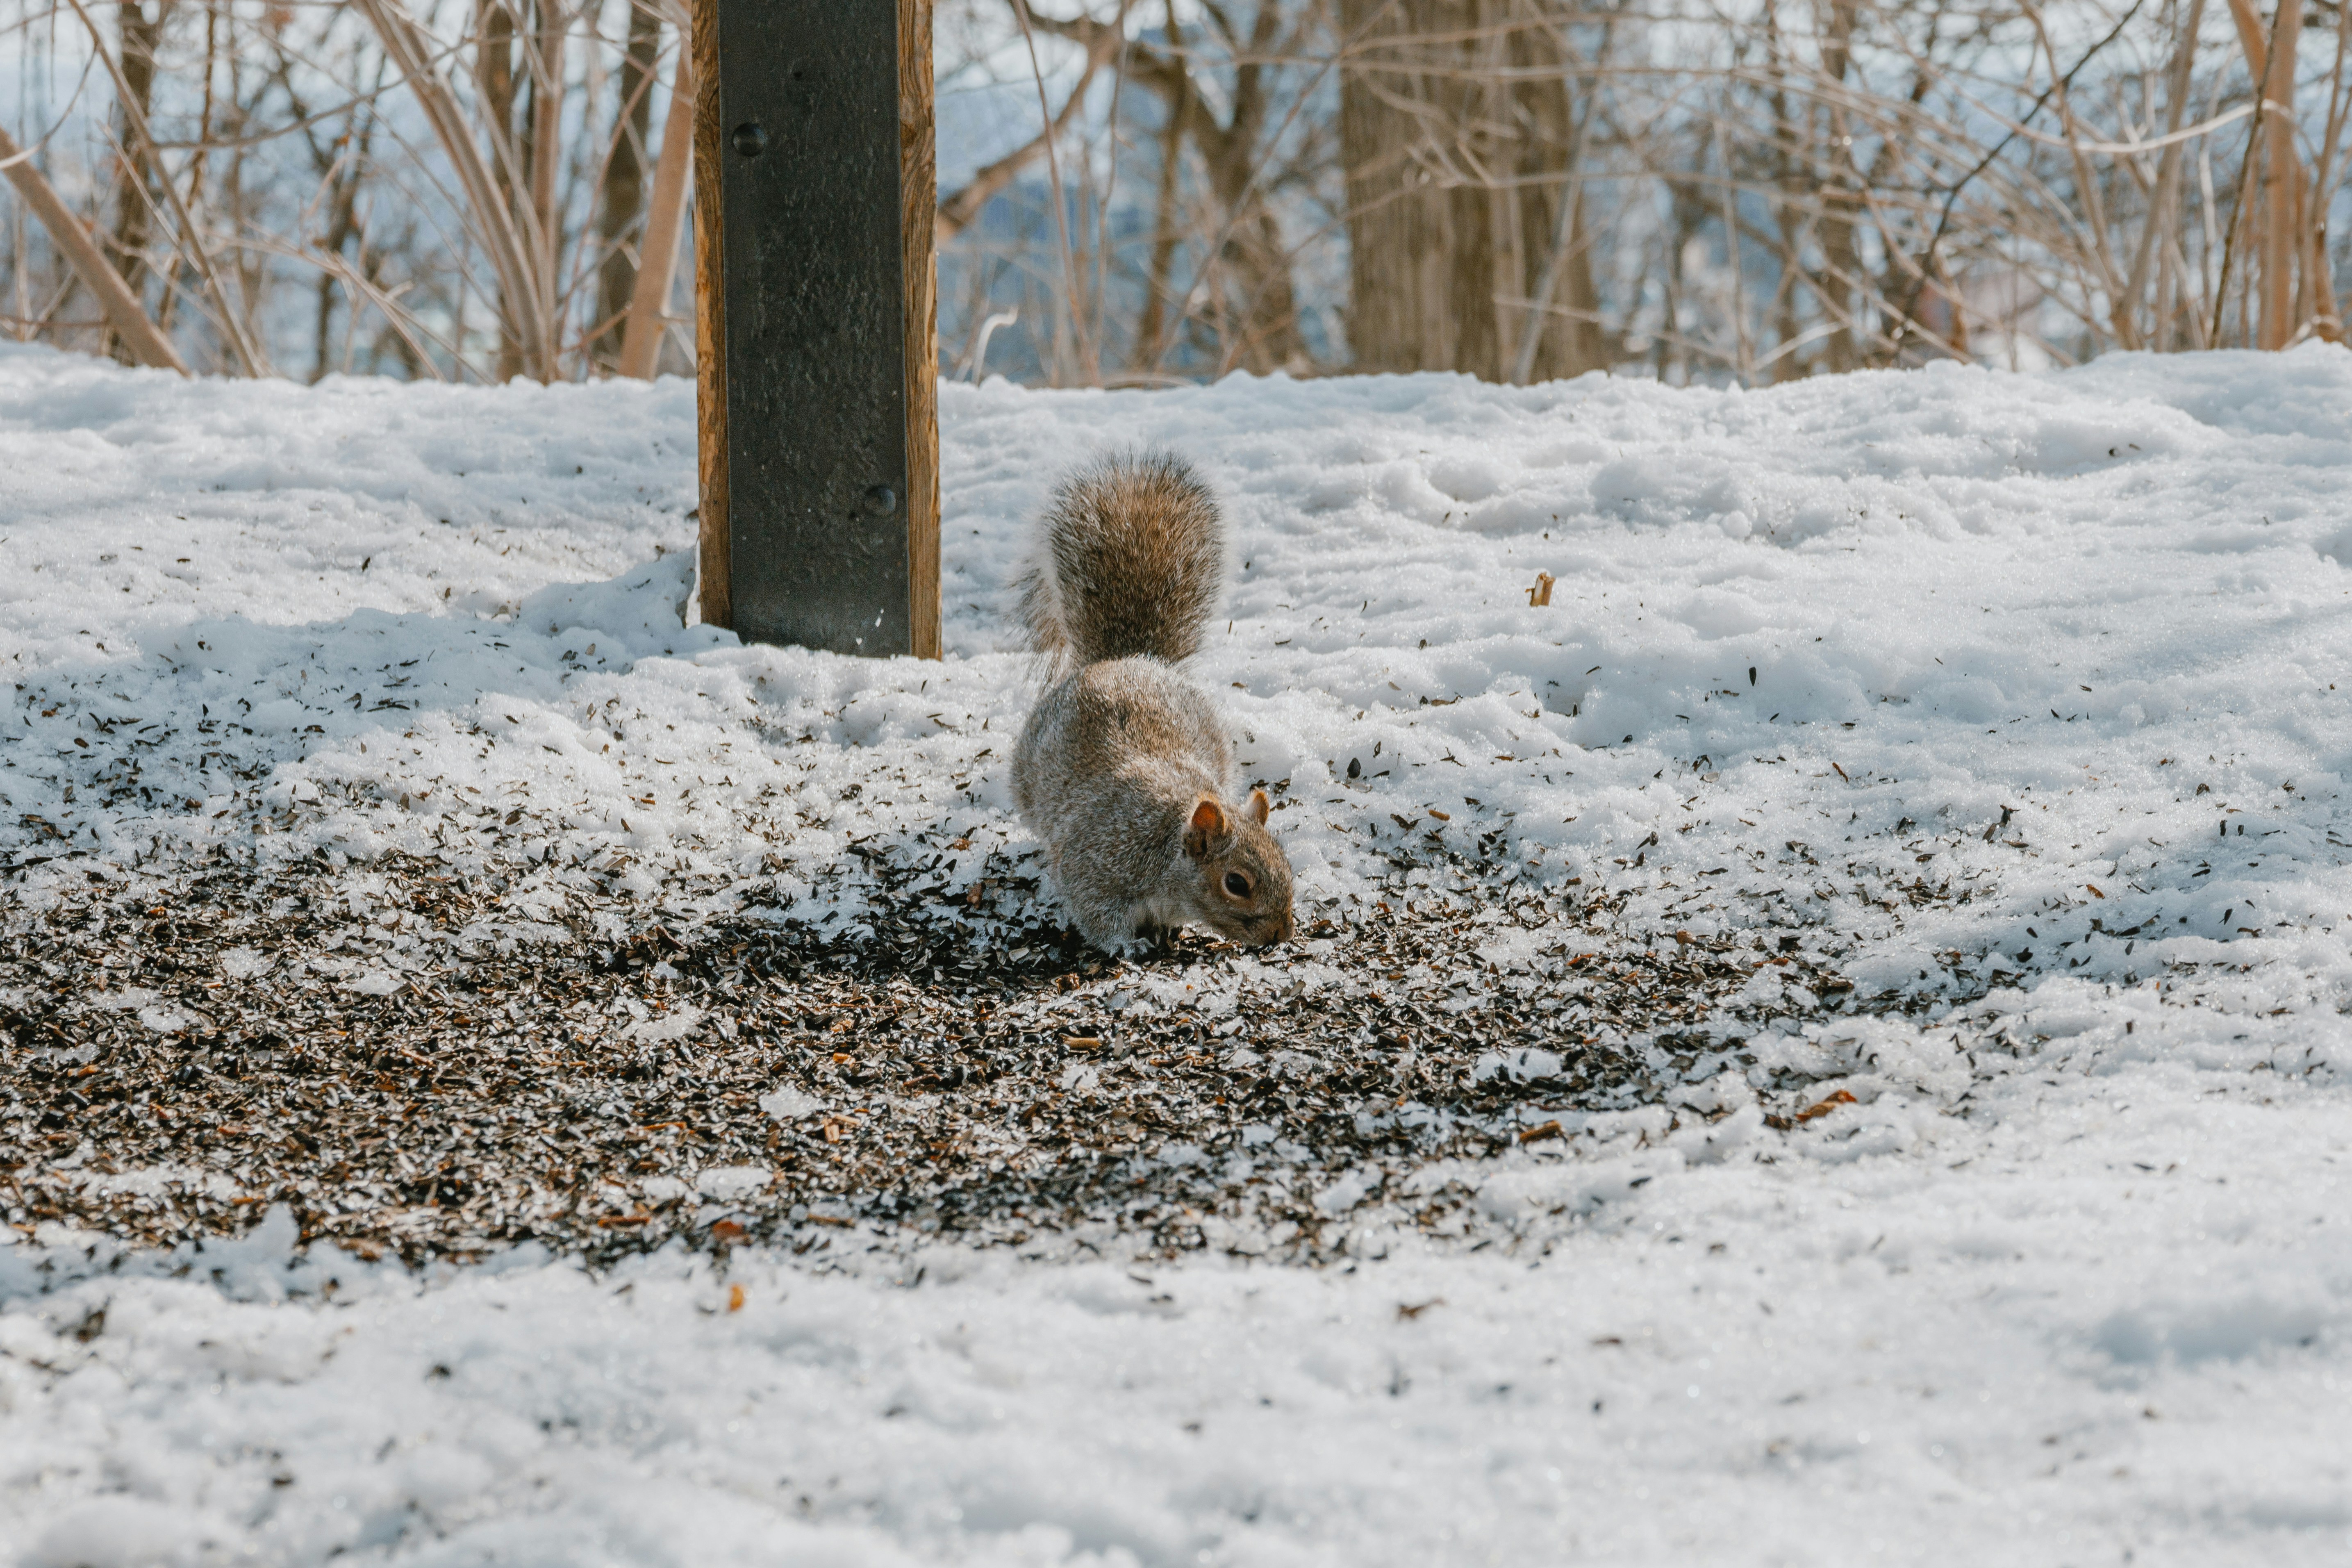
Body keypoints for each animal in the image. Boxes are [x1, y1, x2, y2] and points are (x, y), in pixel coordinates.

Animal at [1011, 451, 1295, 951]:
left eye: (1284, 861)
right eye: (1236, 883)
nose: (1282, 933)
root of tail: (1126, 658)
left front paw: (1168, 930)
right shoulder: (1098, 865)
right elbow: (1097, 915)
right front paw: (1127, 944)